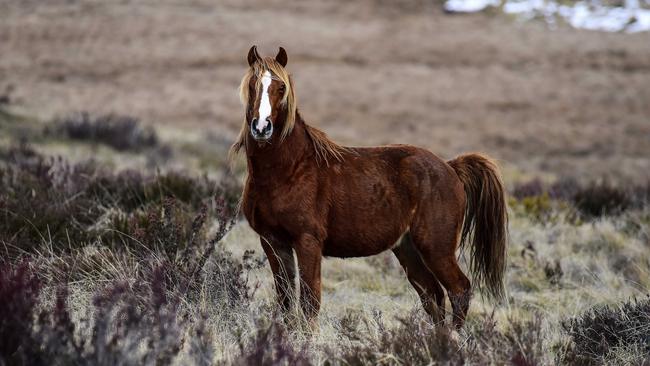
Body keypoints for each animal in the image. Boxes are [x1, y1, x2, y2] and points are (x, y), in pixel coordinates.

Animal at [230, 45, 508, 328]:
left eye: (281, 87)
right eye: (252, 85)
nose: (261, 127)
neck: (290, 170)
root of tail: (450, 167)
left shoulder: (308, 241)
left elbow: (309, 303)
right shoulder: (273, 242)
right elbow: (286, 301)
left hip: (436, 247)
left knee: (459, 289)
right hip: (407, 248)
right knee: (433, 295)